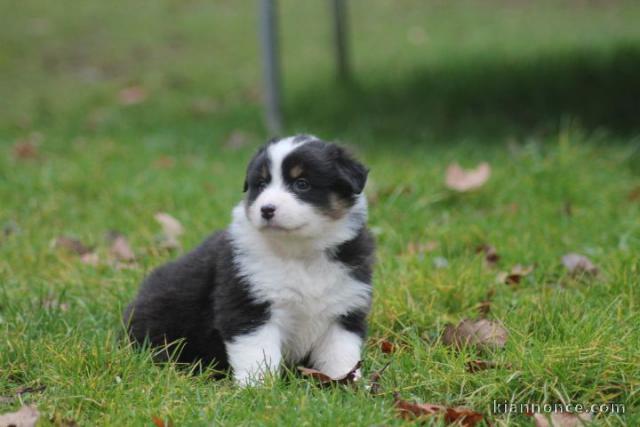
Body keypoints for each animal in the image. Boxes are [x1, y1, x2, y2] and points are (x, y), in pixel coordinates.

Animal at [124, 135, 376, 386]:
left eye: (302, 184)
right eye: (261, 184)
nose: (266, 209)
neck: (299, 253)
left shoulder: (344, 310)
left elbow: (340, 354)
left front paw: (348, 384)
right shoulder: (247, 305)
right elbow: (258, 352)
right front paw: (258, 388)